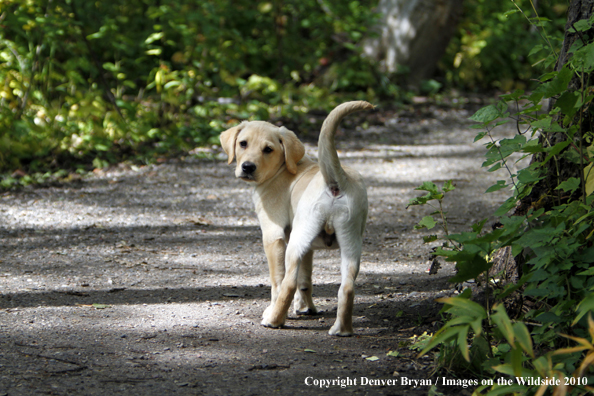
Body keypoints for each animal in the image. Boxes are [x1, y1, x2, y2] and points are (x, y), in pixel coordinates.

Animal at [220, 101, 372, 334]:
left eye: (268, 150)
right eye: (243, 143)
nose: (247, 167)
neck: (283, 169)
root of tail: (337, 181)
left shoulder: (273, 236)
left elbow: (278, 281)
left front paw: (276, 309)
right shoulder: (307, 247)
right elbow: (305, 279)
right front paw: (305, 307)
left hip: (295, 242)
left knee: (288, 283)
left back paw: (274, 319)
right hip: (350, 242)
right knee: (346, 287)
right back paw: (341, 329)